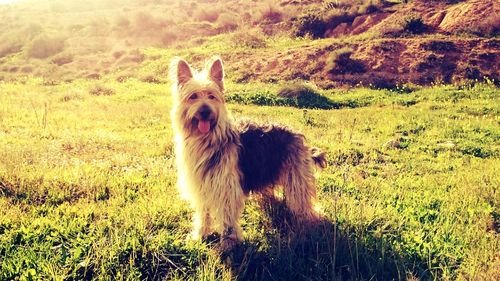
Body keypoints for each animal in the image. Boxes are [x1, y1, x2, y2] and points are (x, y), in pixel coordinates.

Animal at [170, 55, 326, 248]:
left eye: (212, 96)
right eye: (193, 96)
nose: (205, 111)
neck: (206, 140)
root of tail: (297, 135)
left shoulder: (226, 188)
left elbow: (227, 219)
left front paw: (228, 243)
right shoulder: (202, 186)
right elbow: (203, 214)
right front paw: (200, 235)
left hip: (297, 179)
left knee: (305, 203)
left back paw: (311, 224)